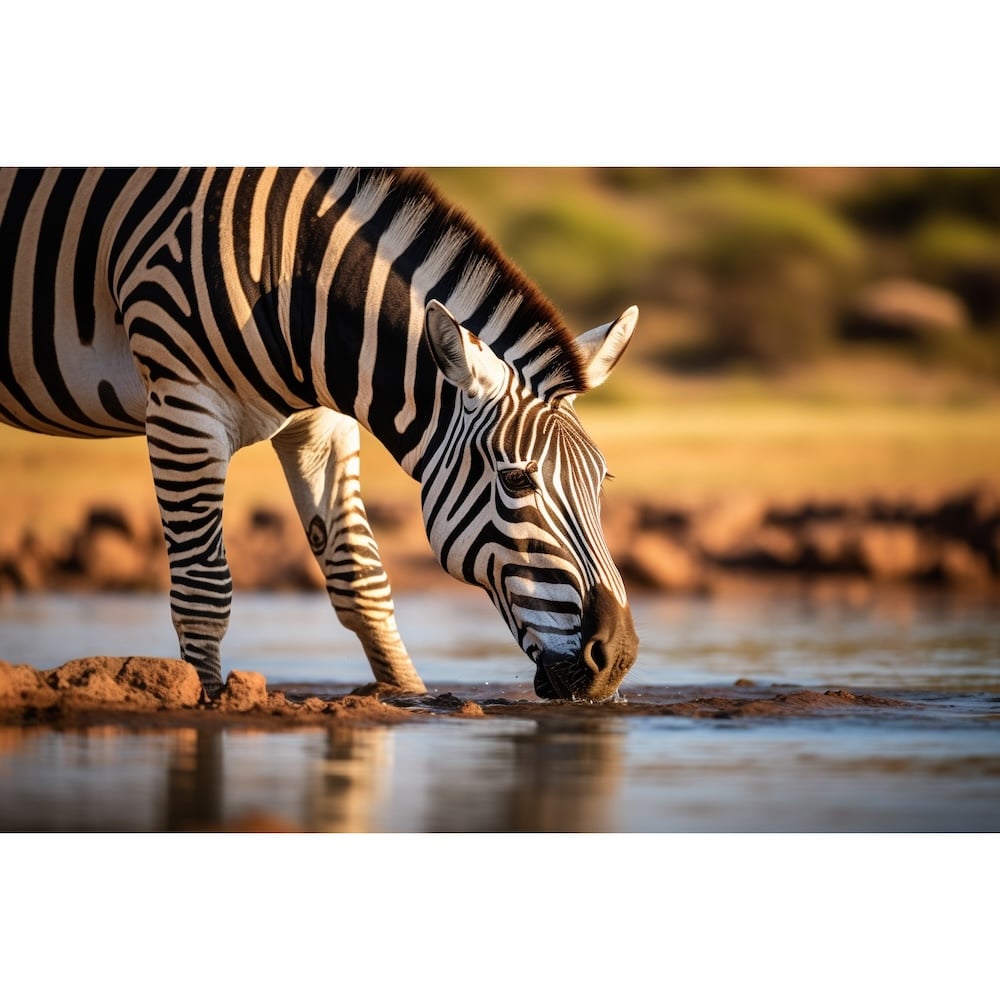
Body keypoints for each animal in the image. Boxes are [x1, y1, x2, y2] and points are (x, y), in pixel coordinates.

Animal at [0, 167, 639, 701]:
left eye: (602, 481)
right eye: (516, 481)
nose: (619, 657)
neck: (287, 275)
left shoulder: (320, 427)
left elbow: (362, 580)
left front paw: (408, 697)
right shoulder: (184, 404)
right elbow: (203, 590)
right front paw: (206, 704)